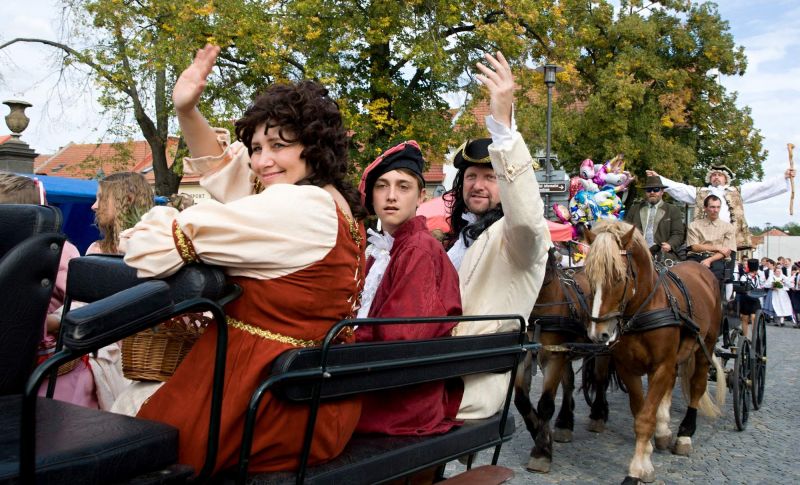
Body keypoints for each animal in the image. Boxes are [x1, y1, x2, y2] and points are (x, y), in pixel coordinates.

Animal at [514, 248, 619, 473]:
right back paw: (564, 422)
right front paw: (541, 434)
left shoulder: (554, 357)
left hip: (602, 347)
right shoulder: (524, 356)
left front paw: (541, 452)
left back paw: (599, 414)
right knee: (569, 383)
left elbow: (545, 404)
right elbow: (521, 400)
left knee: (600, 379)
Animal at [583, 221, 725, 484]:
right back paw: (663, 431)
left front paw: (637, 469)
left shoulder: (660, 366)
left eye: (618, 277)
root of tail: (699, 266)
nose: (599, 334)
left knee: (697, 386)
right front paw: (648, 451)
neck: (644, 309)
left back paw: (684, 435)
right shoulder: (628, 368)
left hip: (706, 347)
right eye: (588, 276)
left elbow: (645, 417)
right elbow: (640, 412)